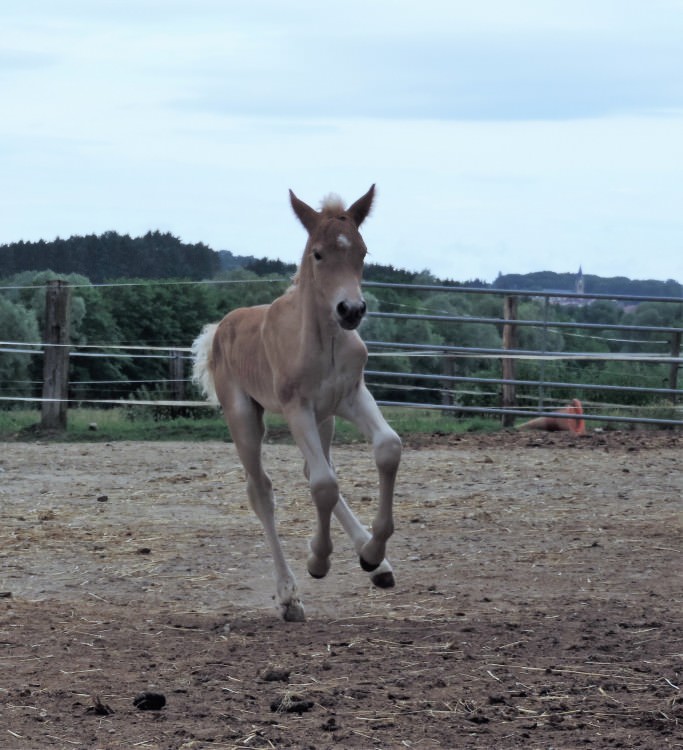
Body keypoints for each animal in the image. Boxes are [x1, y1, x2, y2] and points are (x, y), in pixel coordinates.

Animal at [192, 188, 404, 624]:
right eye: (318, 254)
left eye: (362, 251)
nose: (351, 310)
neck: (324, 341)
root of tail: (218, 329)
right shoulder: (296, 407)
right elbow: (322, 484)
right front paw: (318, 562)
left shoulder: (351, 396)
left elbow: (387, 449)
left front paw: (373, 553)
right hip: (244, 417)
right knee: (262, 491)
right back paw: (289, 596)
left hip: (325, 420)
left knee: (316, 469)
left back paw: (375, 563)